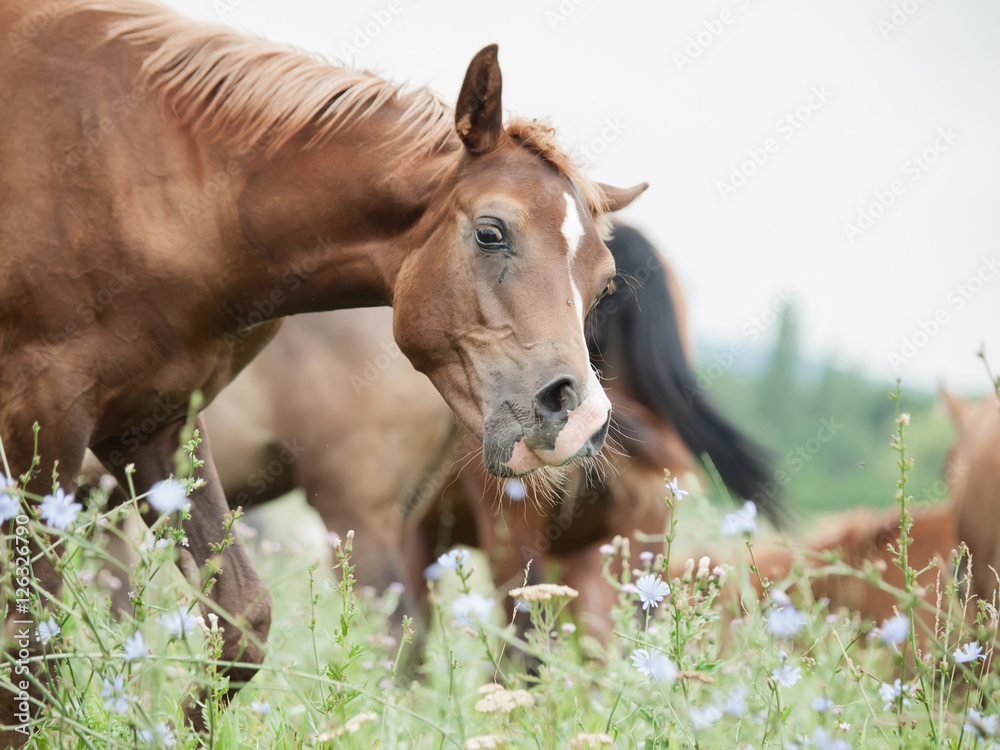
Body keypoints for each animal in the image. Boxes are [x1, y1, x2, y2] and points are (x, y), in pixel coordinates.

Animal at [0, 0, 646, 738]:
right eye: (491, 232)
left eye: (603, 283)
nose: (580, 417)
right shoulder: (47, 421)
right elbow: (32, 638)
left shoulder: (151, 426)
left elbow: (242, 619)